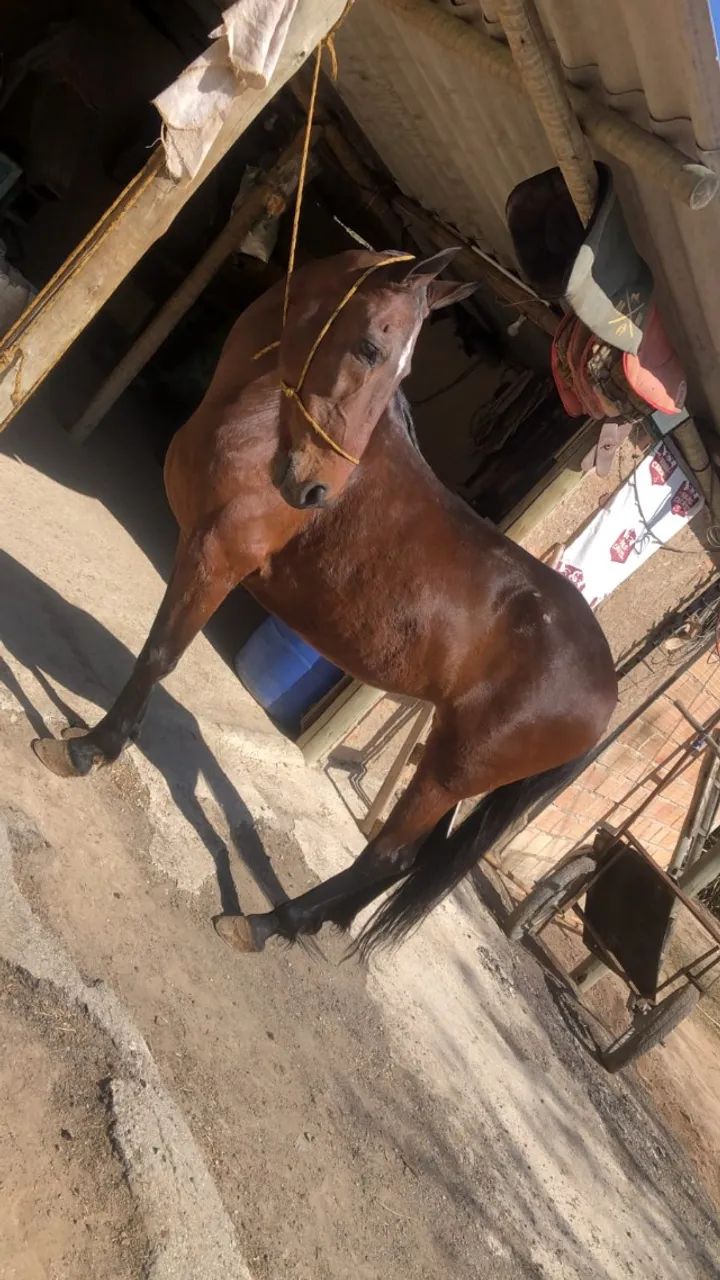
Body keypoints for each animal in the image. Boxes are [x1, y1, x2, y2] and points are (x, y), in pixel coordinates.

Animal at [33, 247, 618, 957]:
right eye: (371, 349)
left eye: (398, 363)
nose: (314, 490)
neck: (262, 423)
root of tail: (607, 689)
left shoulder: (215, 557)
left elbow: (161, 655)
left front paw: (91, 748)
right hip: (450, 761)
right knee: (404, 859)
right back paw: (324, 921)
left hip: (449, 774)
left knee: (386, 857)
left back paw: (268, 923)